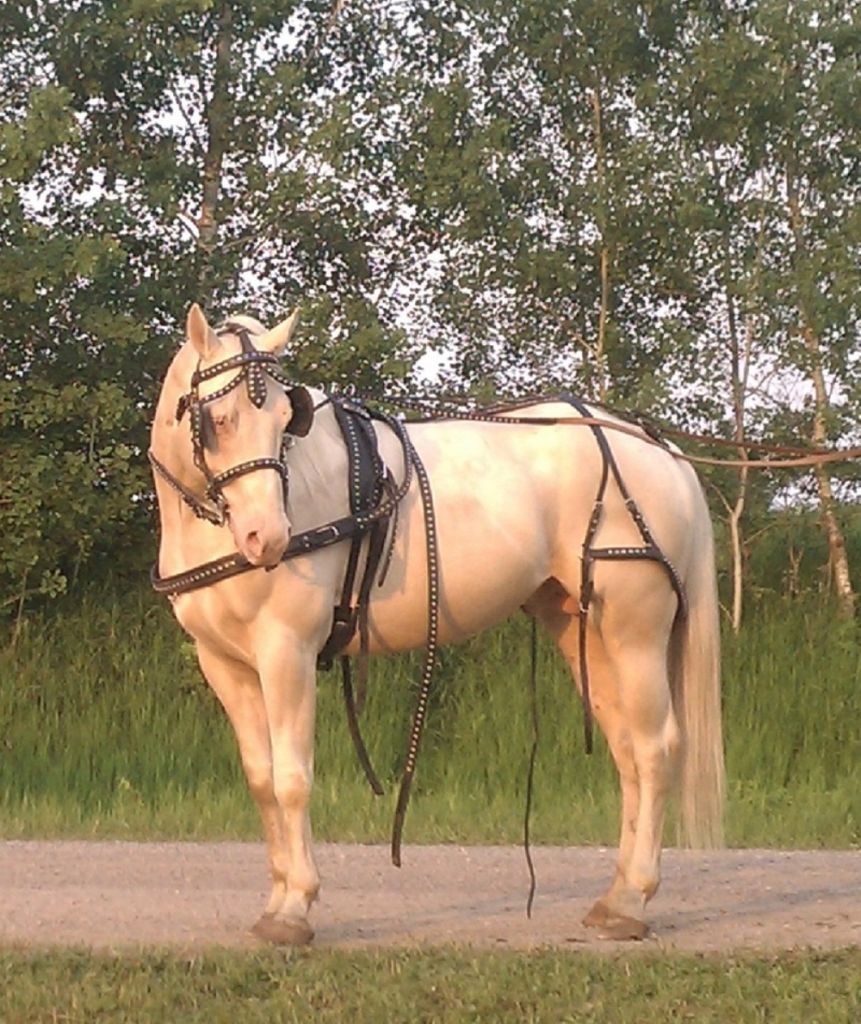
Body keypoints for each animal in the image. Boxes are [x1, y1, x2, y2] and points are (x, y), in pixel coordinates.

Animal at [149, 304, 724, 945]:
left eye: (283, 421)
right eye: (218, 420)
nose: (266, 539)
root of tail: (656, 447)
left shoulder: (286, 650)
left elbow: (291, 779)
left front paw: (296, 907)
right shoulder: (224, 662)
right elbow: (260, 780)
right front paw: (276, 900)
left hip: (635, 630)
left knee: (654, 748)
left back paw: (632, 901)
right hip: (586, 631)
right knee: (626, 749)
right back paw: (616, 895)